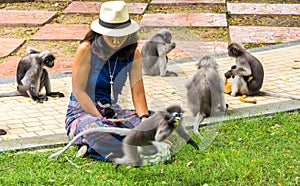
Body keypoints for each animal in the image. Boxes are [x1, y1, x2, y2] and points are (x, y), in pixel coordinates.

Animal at [49, 104, 199, 167]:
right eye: (176, 114)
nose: (177, 117)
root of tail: (133, 131)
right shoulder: (164, 121)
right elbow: (158, 135)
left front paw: (192, 142)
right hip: (135, 139)